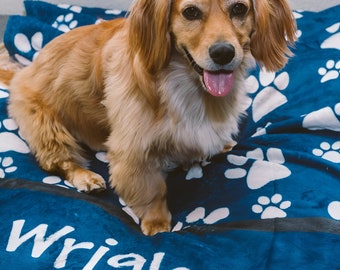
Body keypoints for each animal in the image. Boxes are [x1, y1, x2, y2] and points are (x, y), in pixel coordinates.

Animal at [2, 0, 294, 234]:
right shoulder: (134, 150)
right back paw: (85, 177)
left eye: (239, 8)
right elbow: (152, 189)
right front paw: (157, 223)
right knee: (58, 161)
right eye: (190, 12)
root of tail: (24, 71)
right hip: (46, 126)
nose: (223, 53)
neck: (186, 85)